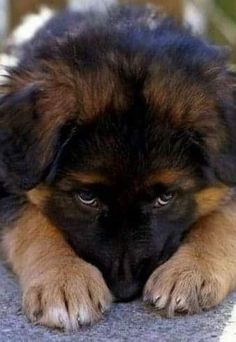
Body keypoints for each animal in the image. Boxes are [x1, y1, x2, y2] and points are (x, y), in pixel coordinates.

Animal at [0, 2, 236, 328]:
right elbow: (31, 222)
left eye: (165, 198)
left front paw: (191, 270)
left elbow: (223, 218)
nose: (125, 291)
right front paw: (63, 279)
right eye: (87, 197)